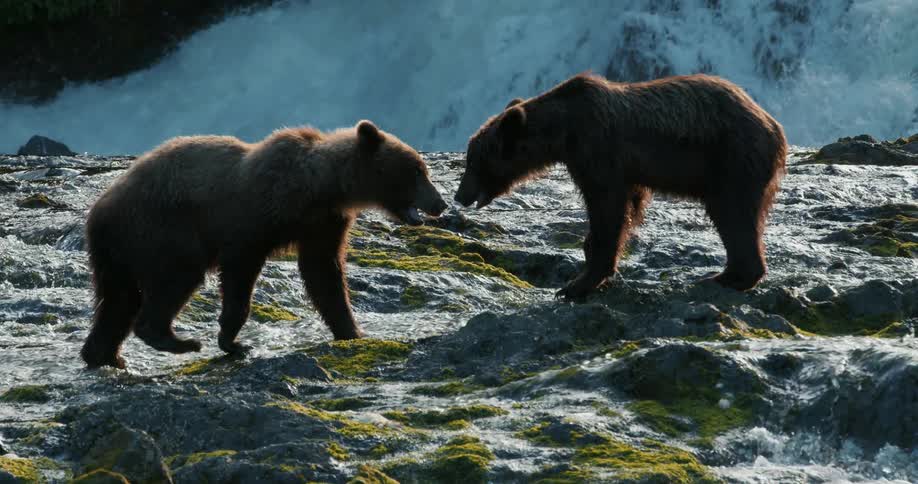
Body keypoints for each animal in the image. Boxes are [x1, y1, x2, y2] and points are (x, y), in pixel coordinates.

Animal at [81, 120, 448, 368]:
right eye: (417, 171)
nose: (440, 203)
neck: (319, 187)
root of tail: (100, 208)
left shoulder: (323, 223)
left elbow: (324, 273)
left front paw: (351, 330)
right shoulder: (255, 219)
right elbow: (240, 271)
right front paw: (232, 341)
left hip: (118, 250)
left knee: (118, 300)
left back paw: (103, 354)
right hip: (161, 230)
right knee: (175, 278)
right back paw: (178, 340)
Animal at [455, 73, 787, 299]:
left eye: (474, 160)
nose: (460, 195)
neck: (564, 132)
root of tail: (773, 124)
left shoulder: (599, 151)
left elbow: (607, 209)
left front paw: (576, 285)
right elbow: (622, 210)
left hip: (732, 159)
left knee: (733, 214)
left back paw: (728, 277)